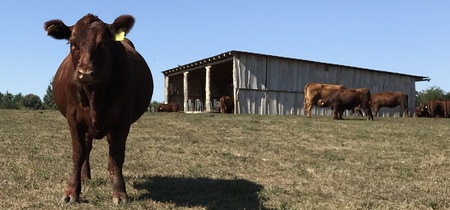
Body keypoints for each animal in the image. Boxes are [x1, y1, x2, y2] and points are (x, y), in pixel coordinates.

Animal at [44, 14, 153, 203]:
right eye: (72, 43)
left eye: (103, 43)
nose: (85, 73)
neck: (95, 95)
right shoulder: (73, 117)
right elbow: (78, 152)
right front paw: (72, 191)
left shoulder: (123, 117)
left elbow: (117, 153)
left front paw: (119, 192)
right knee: (87, 147)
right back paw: (85, 176)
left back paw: (111, 173)